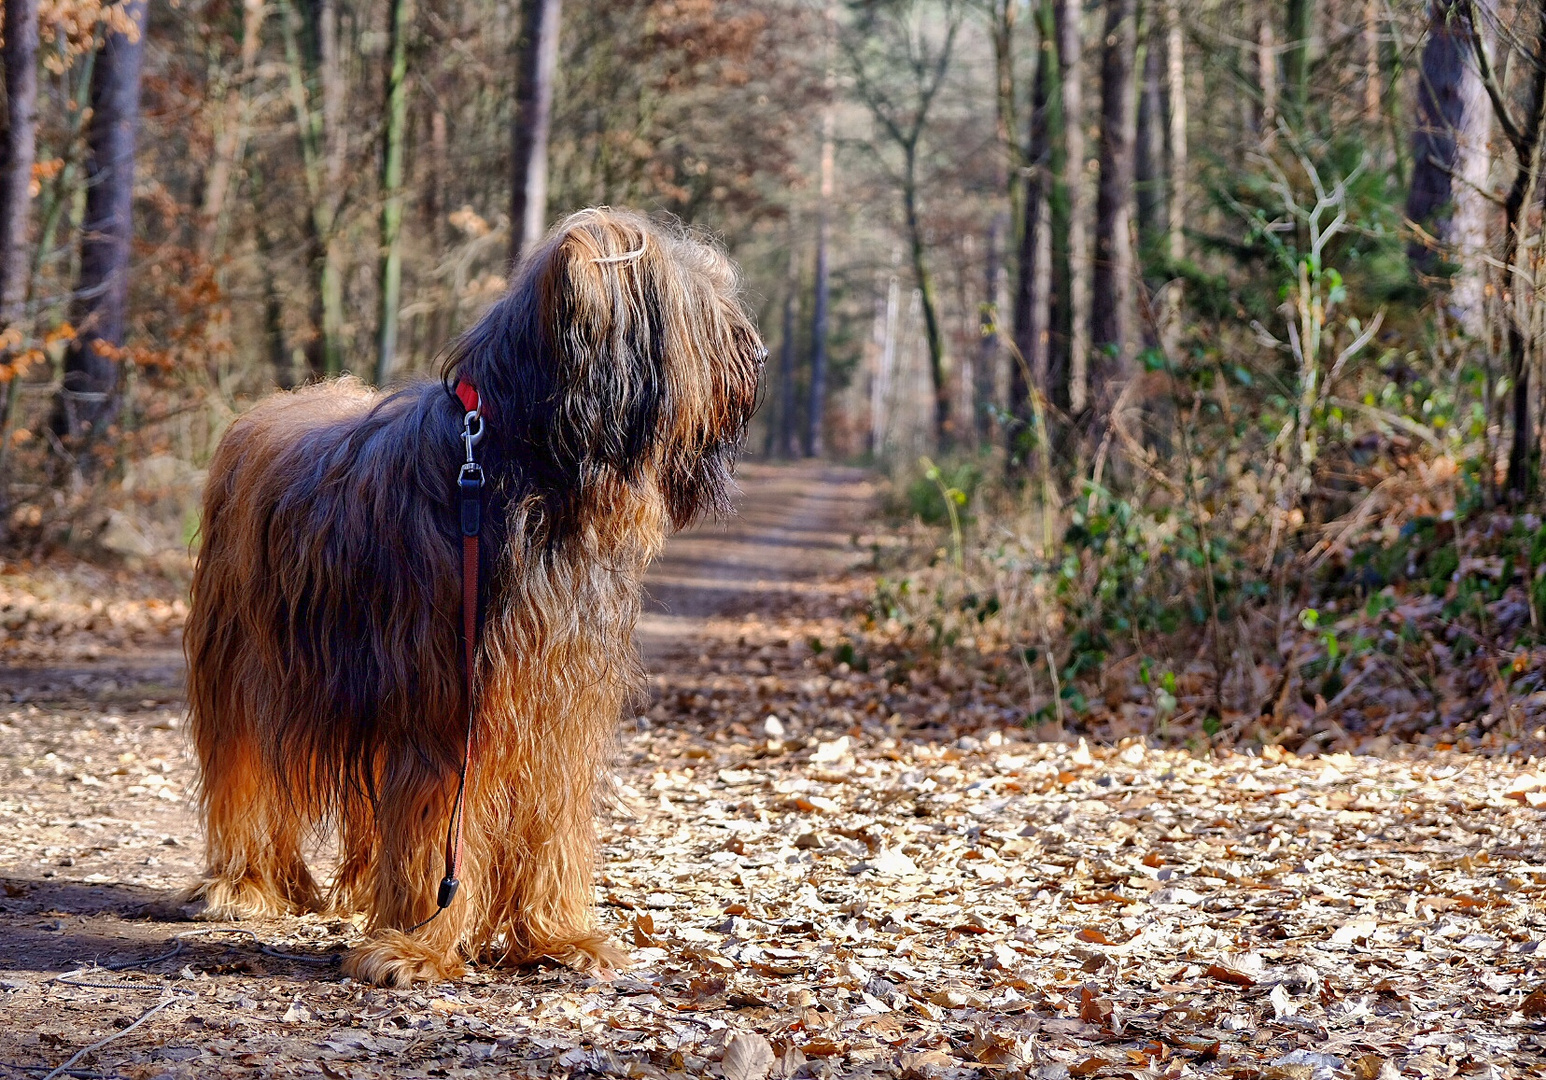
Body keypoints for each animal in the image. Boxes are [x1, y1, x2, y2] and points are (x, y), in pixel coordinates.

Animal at [183, 207, 763, 982]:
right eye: (698, 302)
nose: (756, 357)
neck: (525, 473)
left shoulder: (555, 700)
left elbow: (548, 820)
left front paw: (555, 936)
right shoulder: (447, 701)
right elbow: (438, 821)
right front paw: (418, 944)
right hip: (248, 661)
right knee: (243, 769)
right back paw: (244, 886)